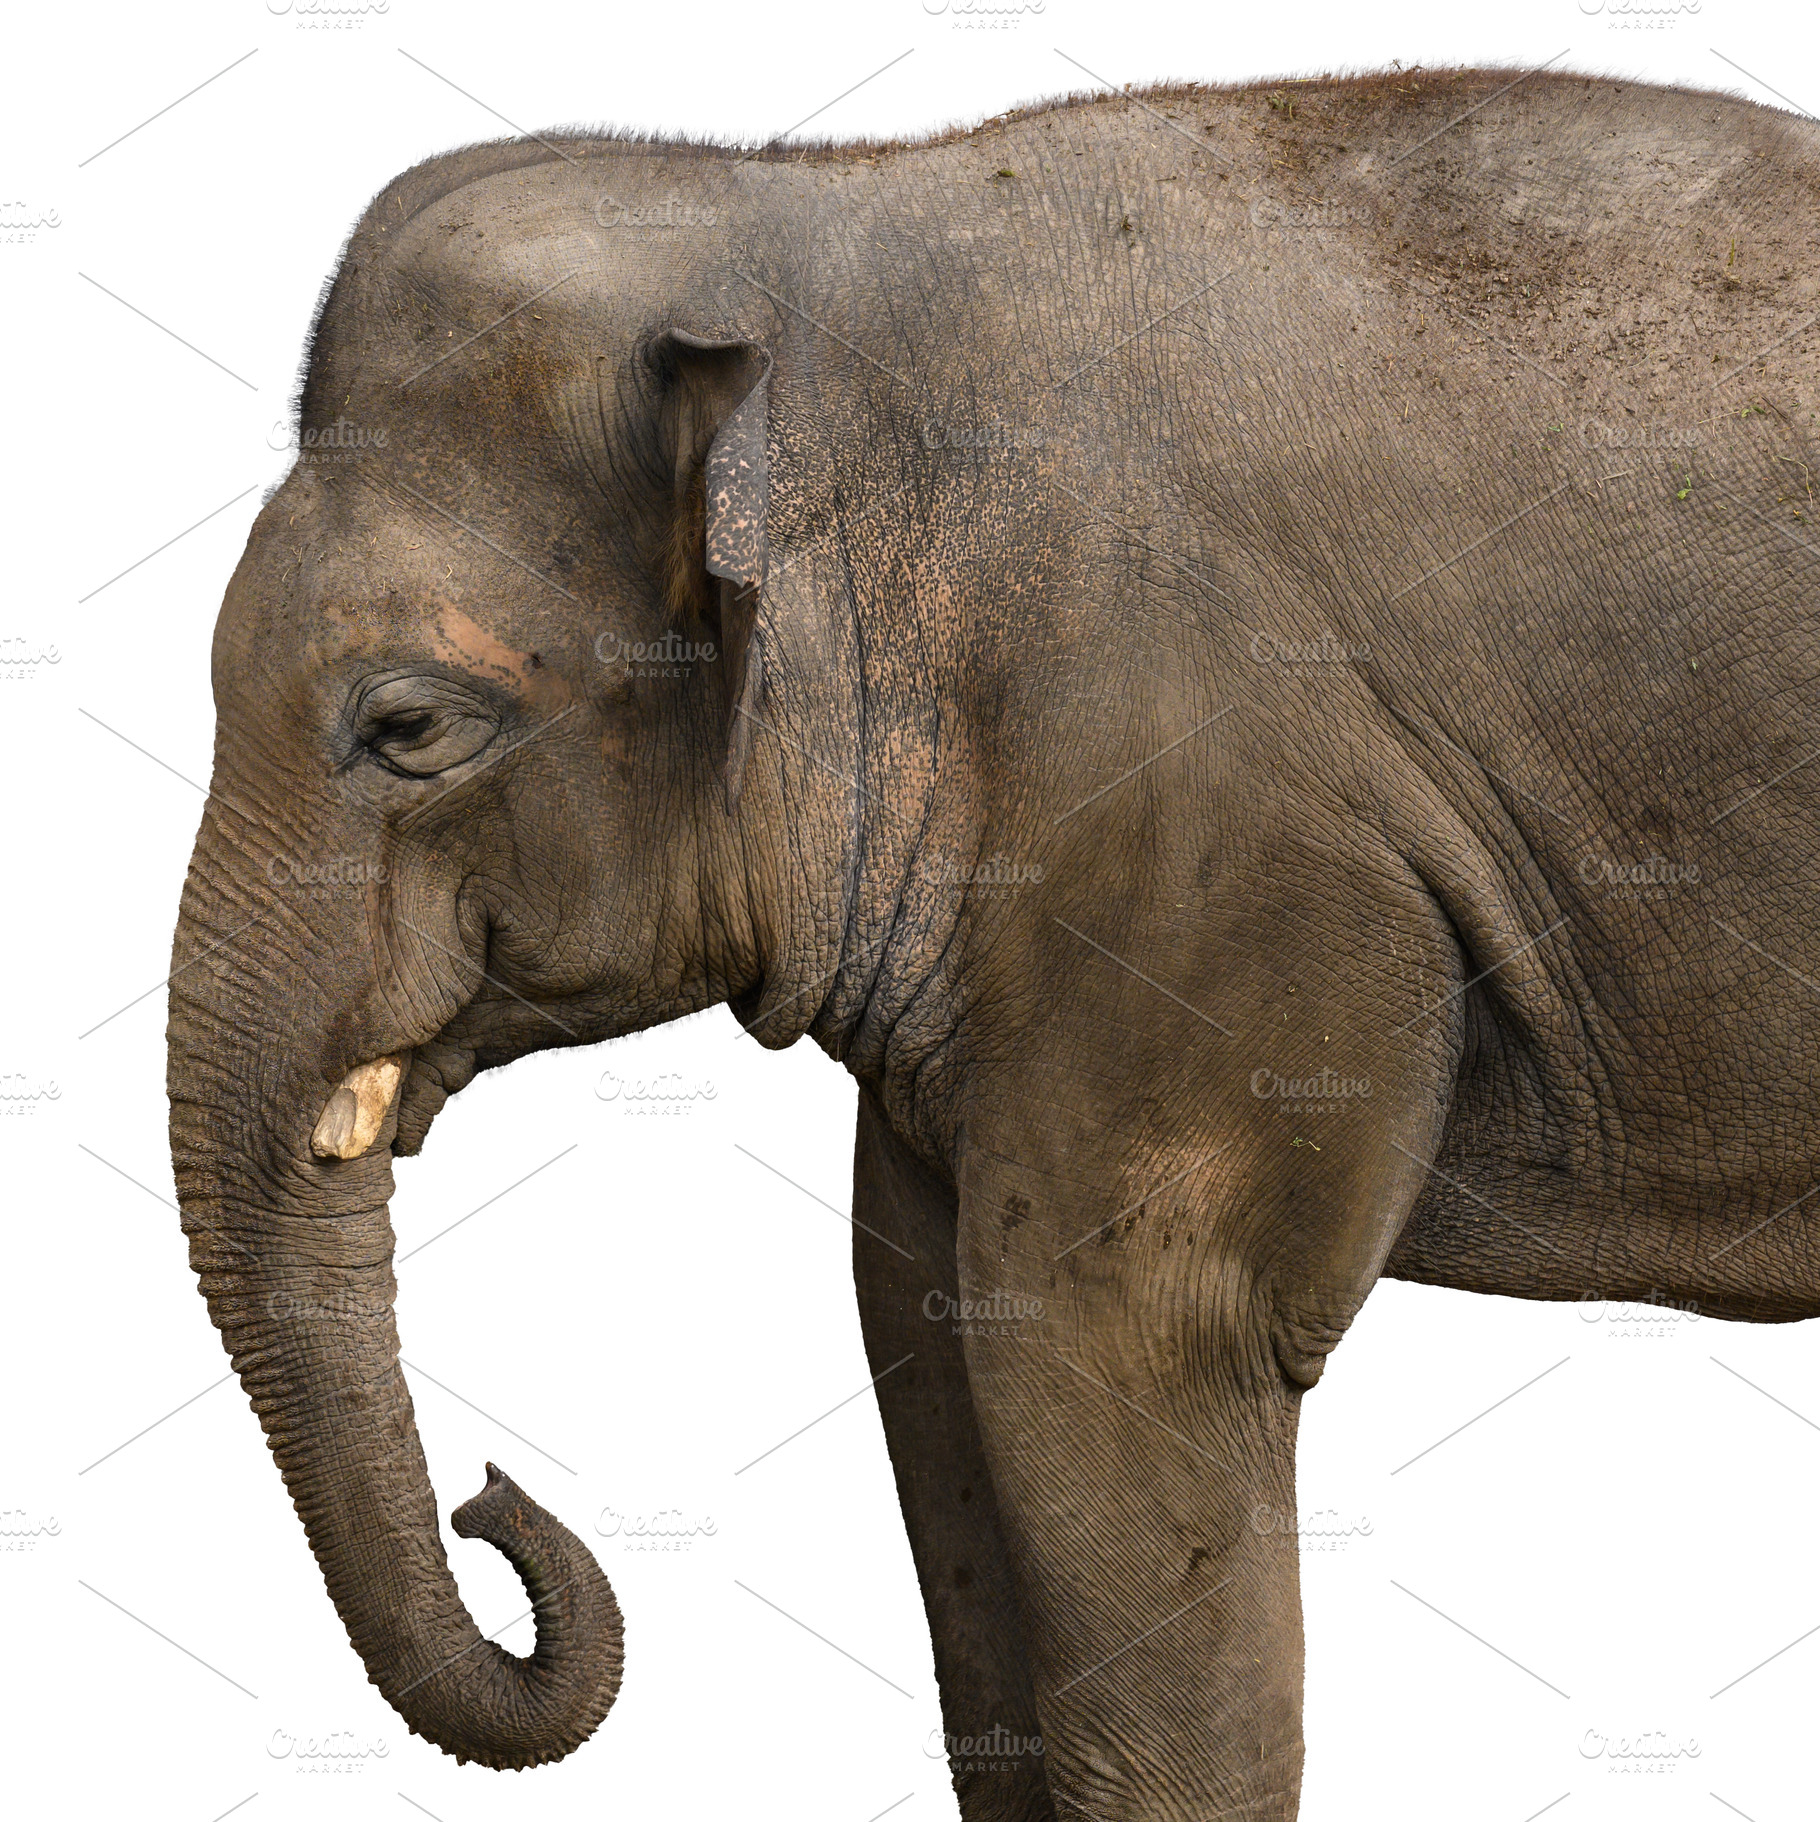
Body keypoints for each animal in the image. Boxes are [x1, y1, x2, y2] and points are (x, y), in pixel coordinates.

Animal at [165, 66, 1819, 1818]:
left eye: (407, 728)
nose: (496, 1499)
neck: (800, 224)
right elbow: (928, 1321)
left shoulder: (1193, 844)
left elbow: (1132, 1335)